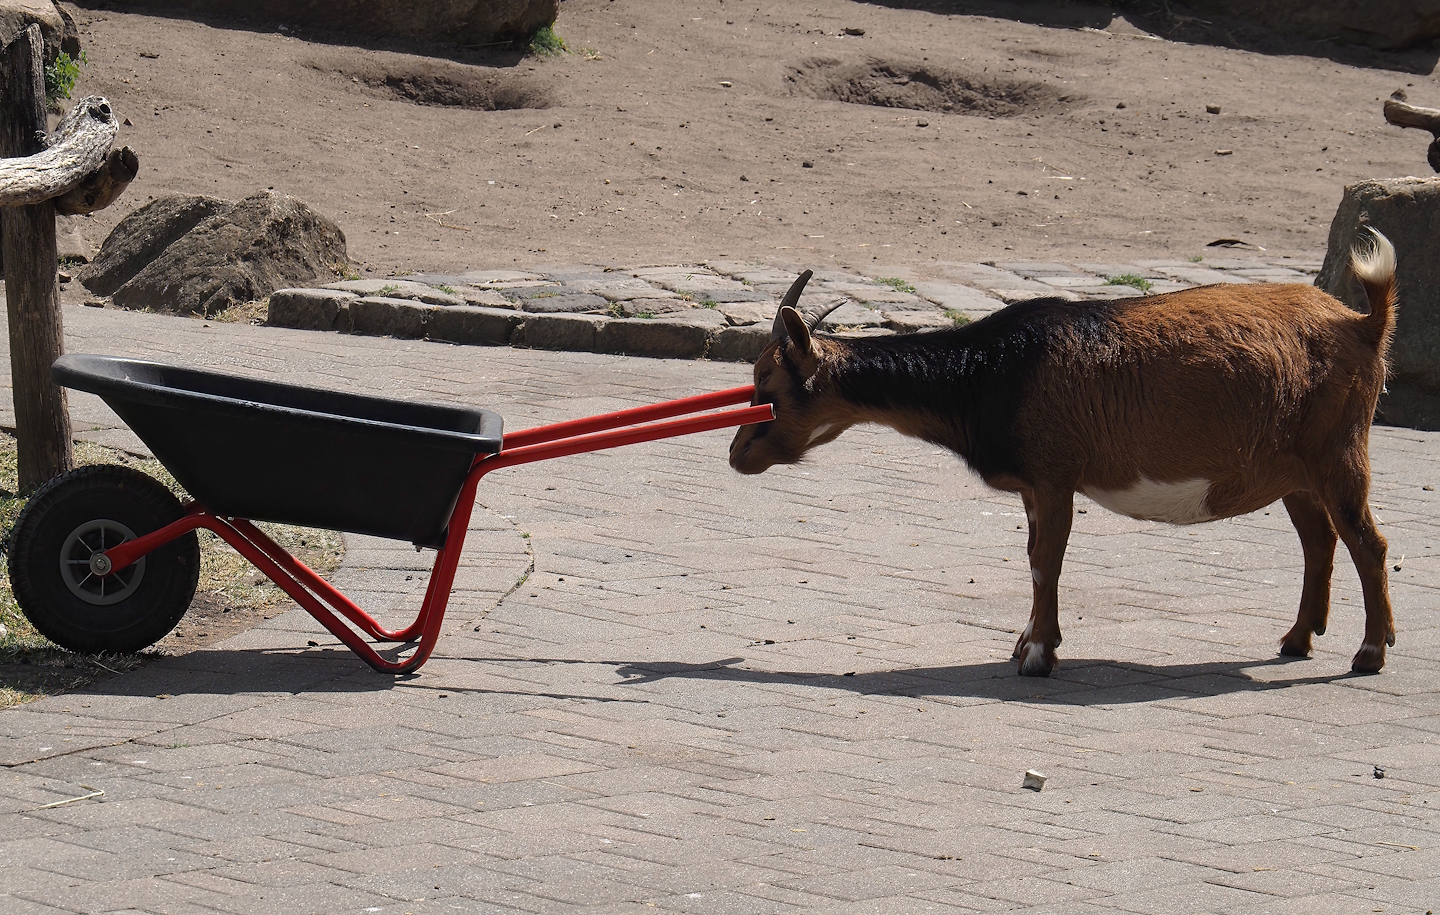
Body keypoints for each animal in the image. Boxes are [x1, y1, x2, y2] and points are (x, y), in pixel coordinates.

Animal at [730, 230, 1398, 676]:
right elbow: (1032, 555)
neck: (989, 372)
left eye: (767, 387)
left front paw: (1036, 655)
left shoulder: (1054, 476)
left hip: (1340, 451)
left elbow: (1044, 561)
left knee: (1367, 541)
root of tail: (1365, 323)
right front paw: (1028, 641)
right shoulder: (1034, 485)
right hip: (1294, 471)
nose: (737, 456)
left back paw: (1369, 651)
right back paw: (1297, 639)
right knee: (1321, 539)